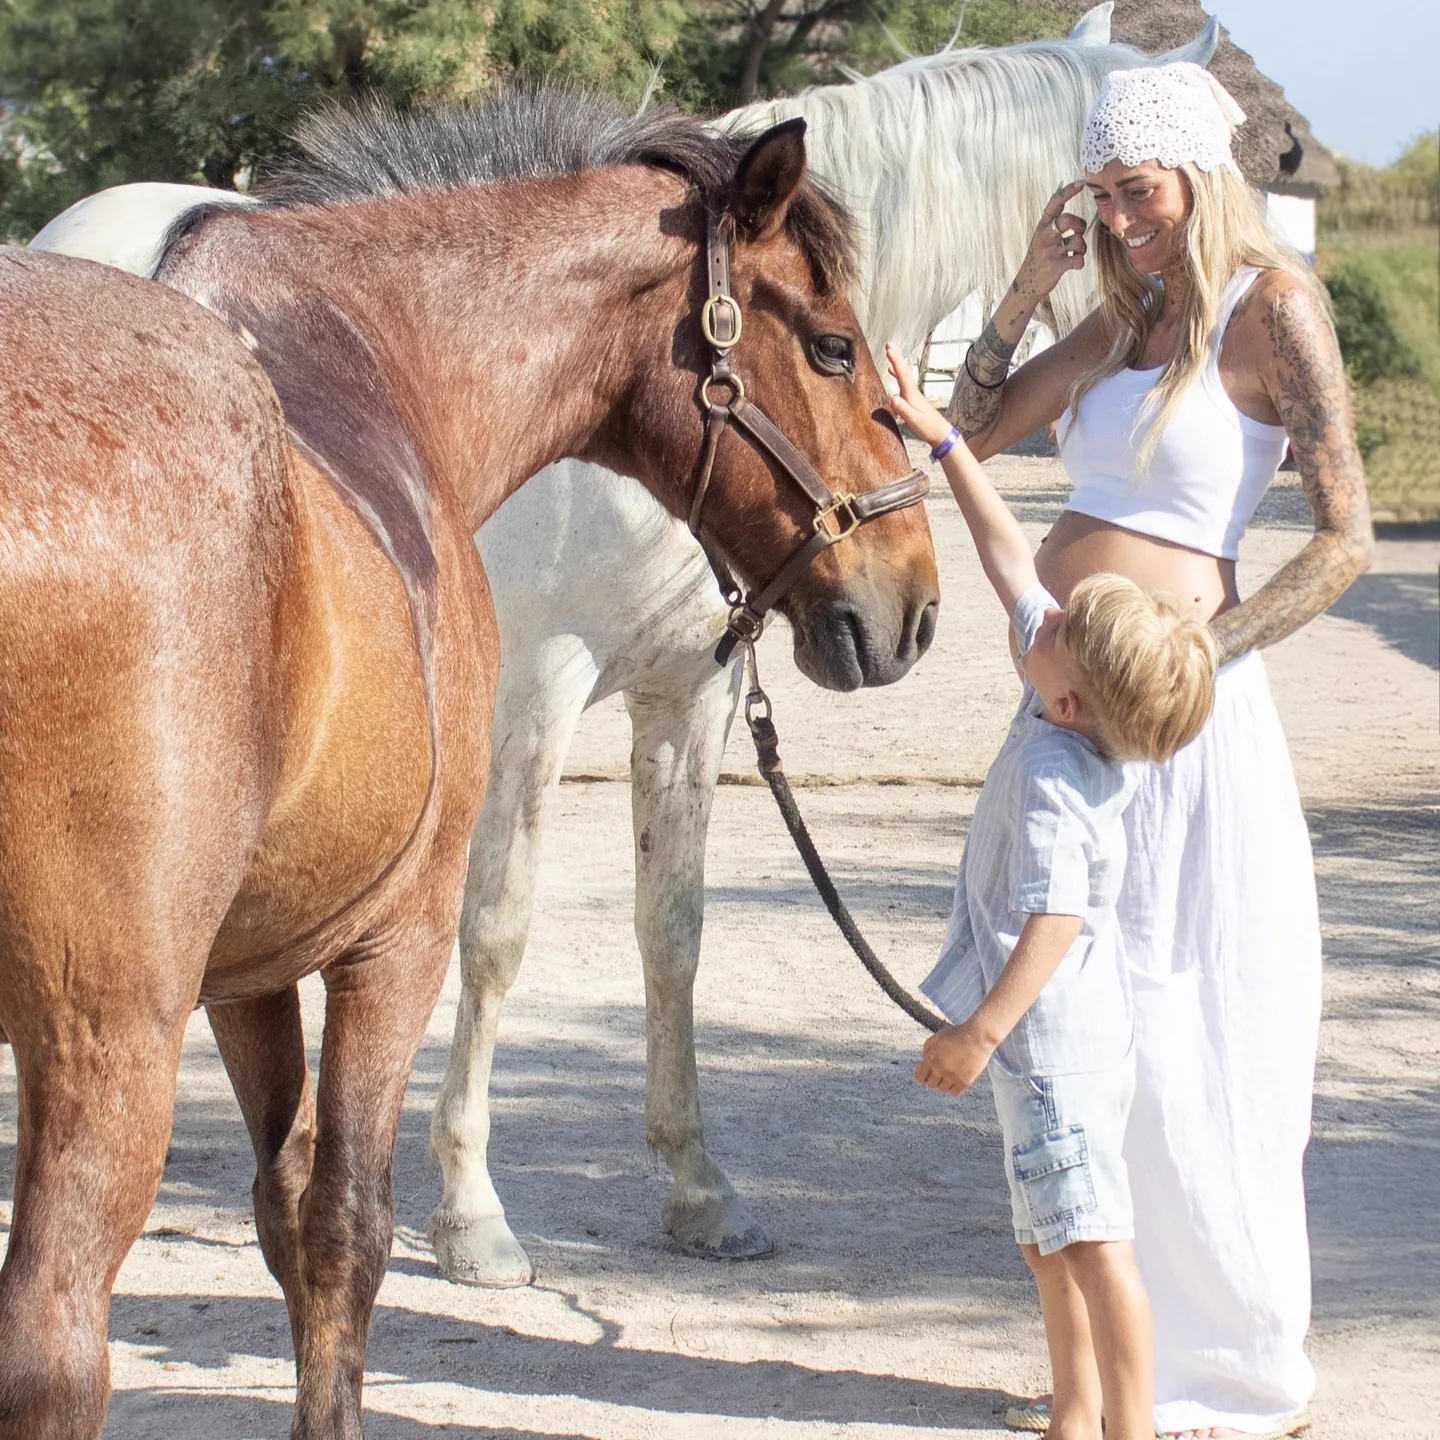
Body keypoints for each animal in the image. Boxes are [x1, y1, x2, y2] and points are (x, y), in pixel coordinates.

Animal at [0, 90, 938, 1440]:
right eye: (831, 349)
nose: (910, 603)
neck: (375, 365)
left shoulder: (252, 966)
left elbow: (286, 1210)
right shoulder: (400, 932)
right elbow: (347, 1226)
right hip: (103, 1034)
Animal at [26, 4, 1219, 1286]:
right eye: (831, 349)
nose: (908, 619)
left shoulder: (690, 696)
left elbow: (673, 933)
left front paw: (700, 1191)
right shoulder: (534, 703)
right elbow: (496, 934)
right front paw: (473, 1212)